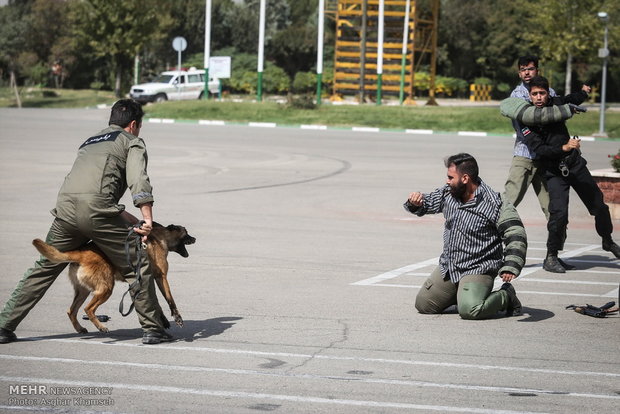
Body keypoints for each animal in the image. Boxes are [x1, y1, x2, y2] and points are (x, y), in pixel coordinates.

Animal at [31, 223, 195, 334]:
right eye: (186, 233)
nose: (194, 238)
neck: (161, 237)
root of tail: (81, 254)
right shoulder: (161, 277)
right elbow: (169, 299)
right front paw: (177, 318)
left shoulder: (147, 280)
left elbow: (156, 303)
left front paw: (164, 320)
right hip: (106, 289)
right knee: (88, 309)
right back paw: (101, 326)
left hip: (83, 291)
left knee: (71, 311)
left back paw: (80, 328)